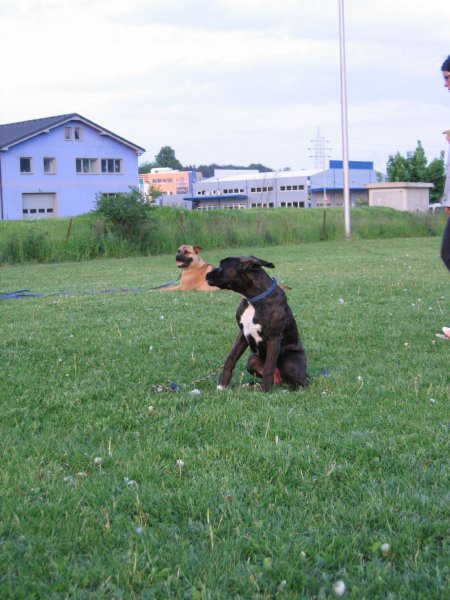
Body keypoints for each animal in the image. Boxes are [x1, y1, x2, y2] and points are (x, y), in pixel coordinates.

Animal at [206, 255, 308, 392]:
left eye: (222, 266)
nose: (206, 274)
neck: (252, 299)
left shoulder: (274, 338)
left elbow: (269, 367)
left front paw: (265, 390)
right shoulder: (242, 334)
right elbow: (231, 359)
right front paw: (222, 385)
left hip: (287, 360)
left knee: (301, 383)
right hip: (252, 360)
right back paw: (252, 385)